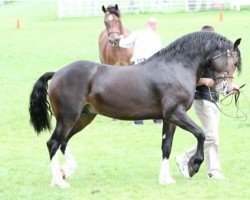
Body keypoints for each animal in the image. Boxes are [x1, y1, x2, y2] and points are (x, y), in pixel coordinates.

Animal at [29, 31, 242, 188]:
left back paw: (65, 172)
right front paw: (192, 167)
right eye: (233, 62)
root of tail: (57, 73)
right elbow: (201, 133)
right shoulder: (176, 113)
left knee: (63, 142)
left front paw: (166, 179)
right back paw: (59, 182)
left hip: (83, 118)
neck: (175, 67)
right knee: (53, 143)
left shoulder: (169, 119)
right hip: (68, 118)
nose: (227, 89)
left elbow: (166, 146)